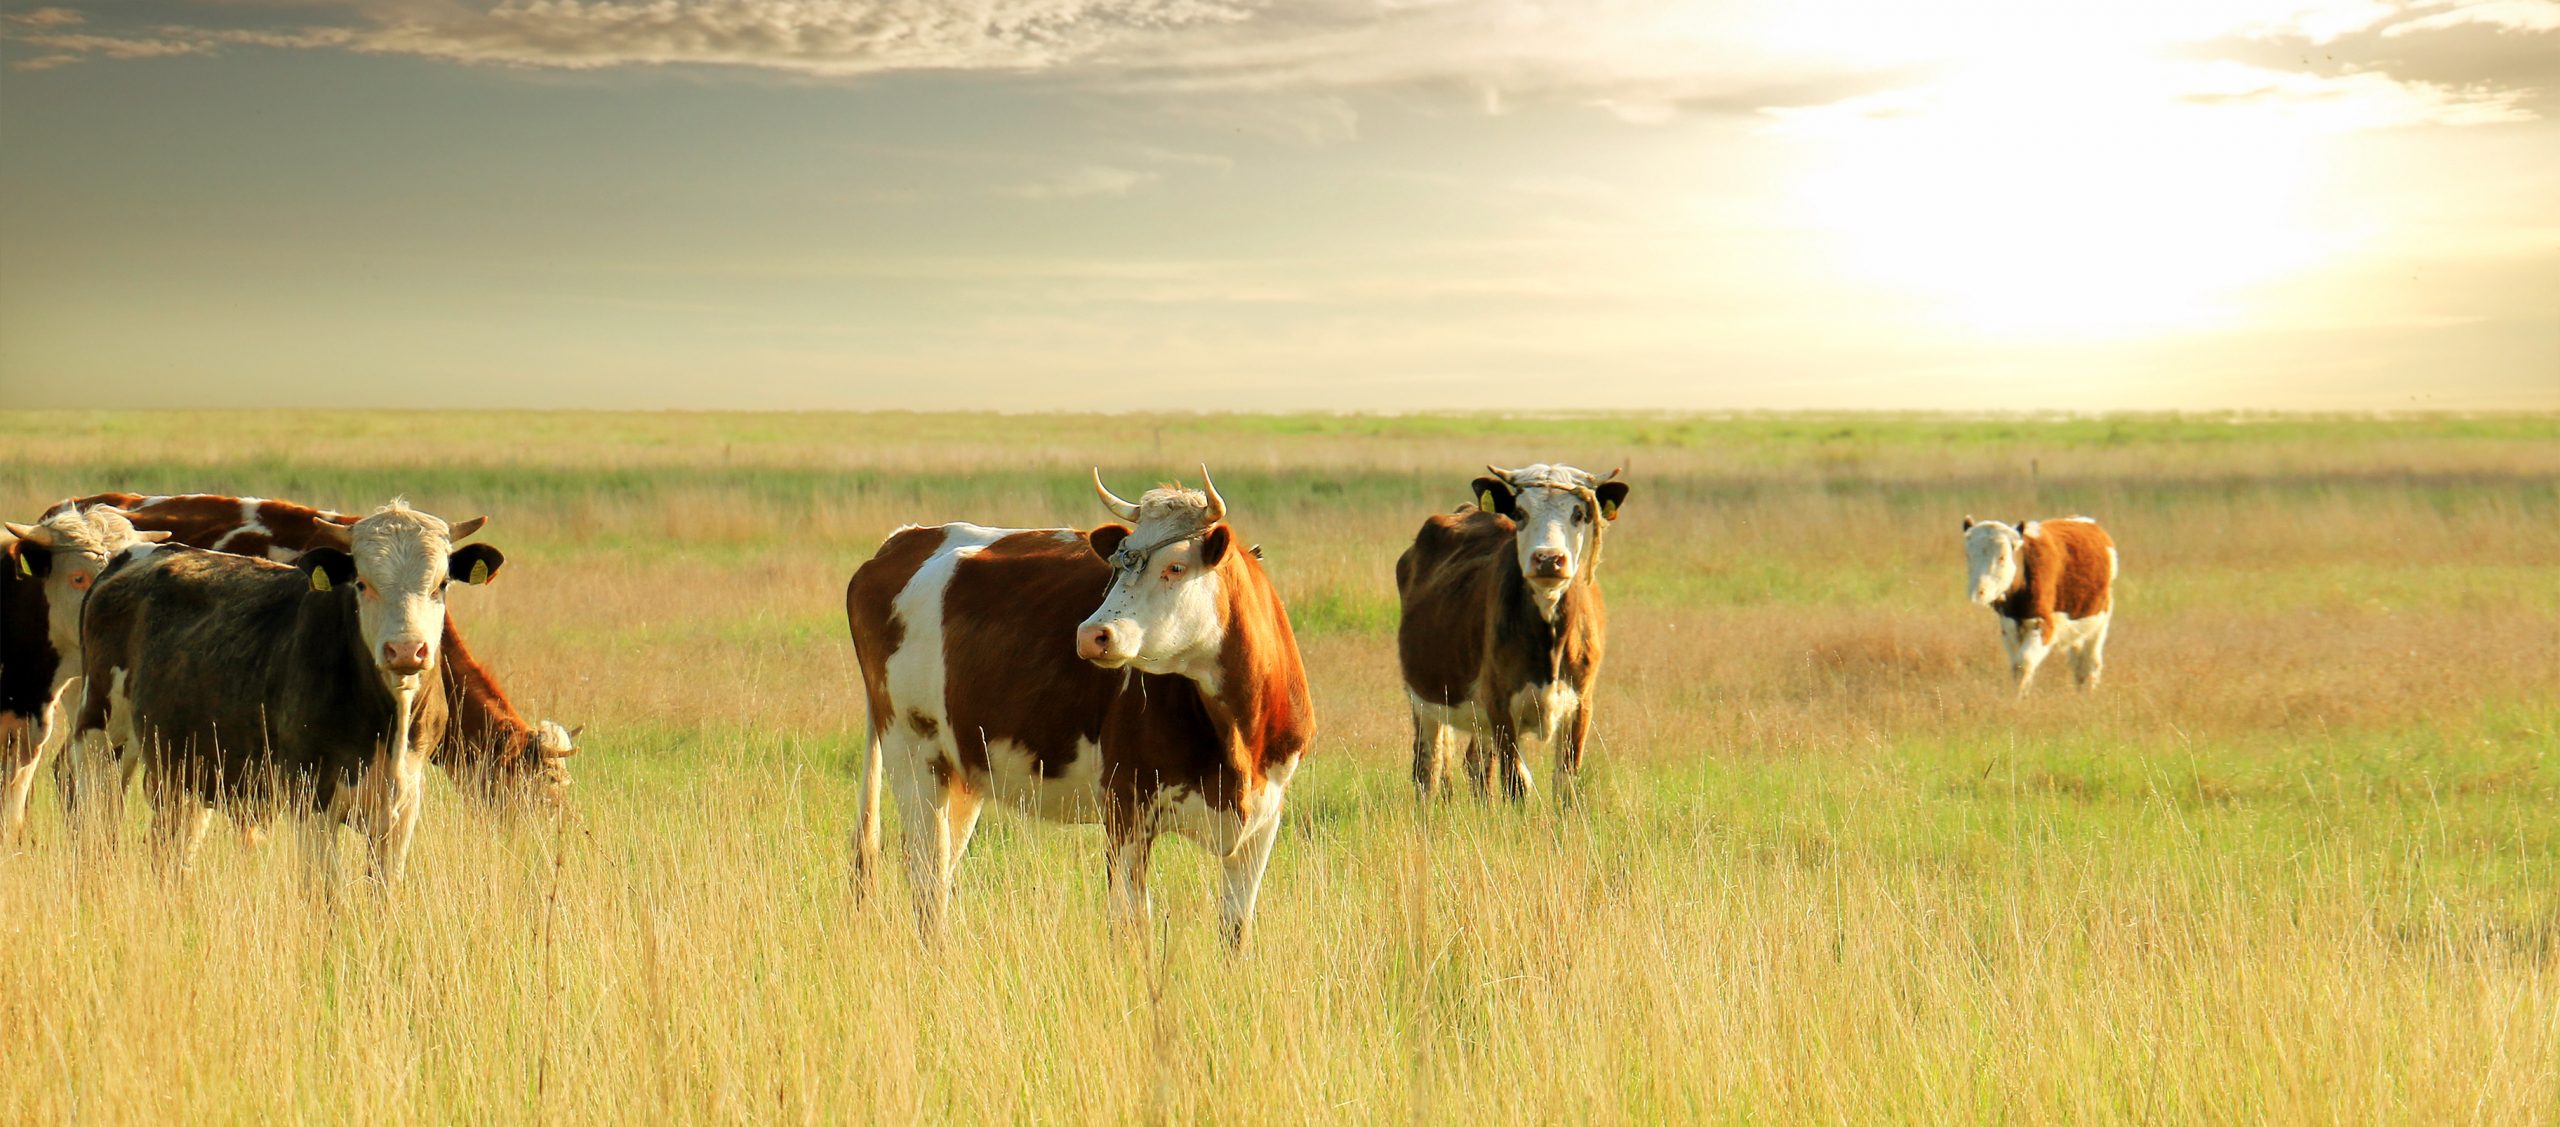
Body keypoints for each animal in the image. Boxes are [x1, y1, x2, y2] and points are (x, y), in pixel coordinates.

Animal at [69, 501, 506, 882]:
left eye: (441, 584)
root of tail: (132, 556)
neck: (387, 721)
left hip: (184, 773)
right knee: (95, 826)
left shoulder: (401, 806)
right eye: (362, 583)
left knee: (172, 849)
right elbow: (324, 892)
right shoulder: (312, 796)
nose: (406, 649)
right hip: (101, 738)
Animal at [844, 469, 1312, 947]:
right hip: (913, 753)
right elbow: (1131, 924)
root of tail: (908, 537)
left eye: (1175, 566)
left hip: (961, 772)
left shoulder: (1263, 819)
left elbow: (1235, 929)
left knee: (940, 870)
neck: (1238, 733)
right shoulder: (1126, 805)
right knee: (927, 875)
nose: (1091, 634)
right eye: (1119, 565)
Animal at [1397, 463, 1629, 803]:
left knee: (1476, 764)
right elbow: (1516, 783)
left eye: (1579, 514)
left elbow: (1565, 783)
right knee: (1428, 766)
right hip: (1424, 699)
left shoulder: (1580, 705)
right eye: (1520, 512)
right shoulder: (1500, 705)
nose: (1548, 559)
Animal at [1962, 515, 2118, 695]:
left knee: (2090, 663)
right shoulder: (2008, 626)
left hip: (2099, 621)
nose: (1978, 593)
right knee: (2078, 664)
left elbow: (2023, 663)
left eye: (2002, 557)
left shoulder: (2044, 623)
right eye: (1969, 556)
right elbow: (2016, 665)